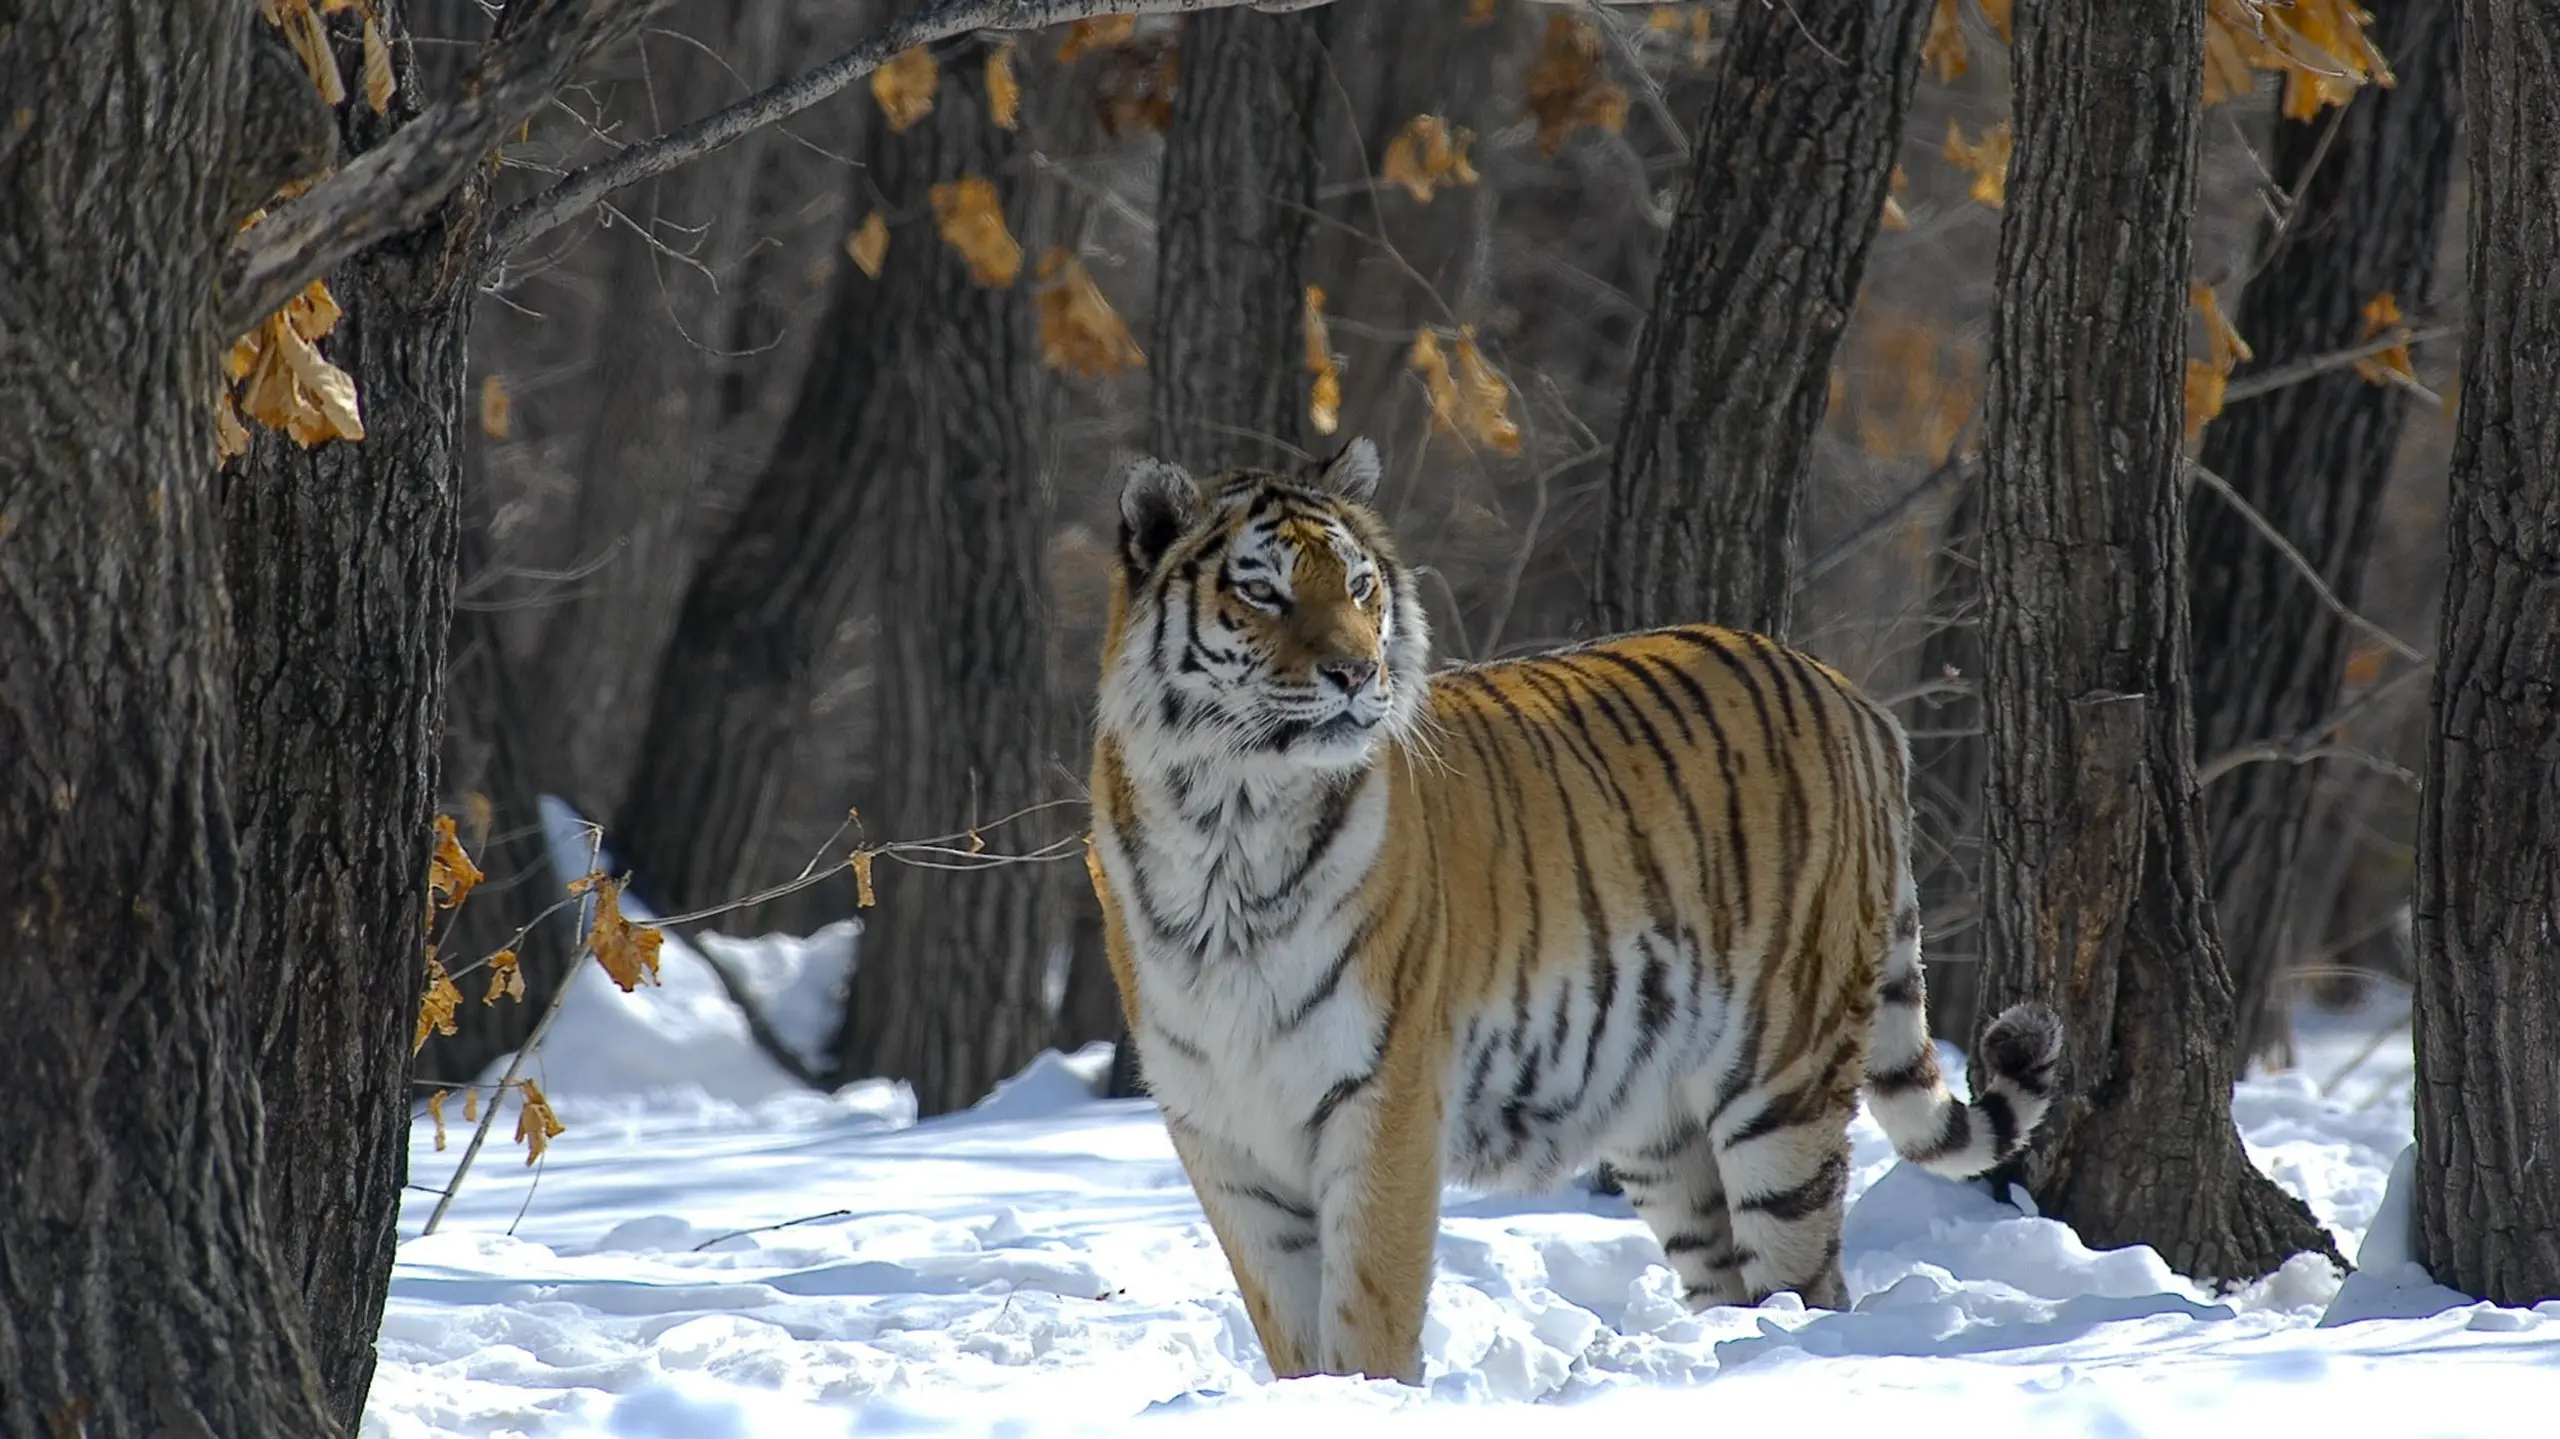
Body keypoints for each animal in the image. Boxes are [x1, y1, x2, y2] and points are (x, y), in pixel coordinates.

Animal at [1080, 435, 2058, 1382]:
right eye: (1263, 592)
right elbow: (1291, 1332)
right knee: (1728, 1273)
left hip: (1783, 1080)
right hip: (1661, 1127)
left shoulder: (1383, 1099)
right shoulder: (1223, 1135)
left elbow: (1368, 1315)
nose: (1358, 672)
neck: (1228, 825)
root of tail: (1855, 698)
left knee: (1810, 1280)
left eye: (1359, 587)